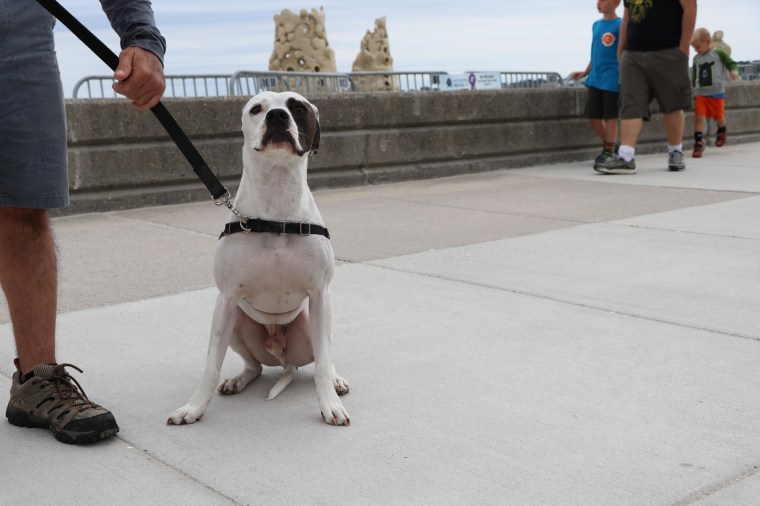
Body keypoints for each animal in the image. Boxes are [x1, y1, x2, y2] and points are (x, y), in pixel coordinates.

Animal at [167, 91, 350, 427]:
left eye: (298, 108)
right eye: (256, 109)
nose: (277, 116)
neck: (276, 210)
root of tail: (281, 355)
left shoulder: (320, 295)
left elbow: (321, 364)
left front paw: (330, 404)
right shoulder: (225, 300)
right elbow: (211, 365)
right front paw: (194, 407)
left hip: (313, 321)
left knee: (324, 356)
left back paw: (335, 379)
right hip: (237, 323)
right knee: (254, 366)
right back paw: (237, 380)